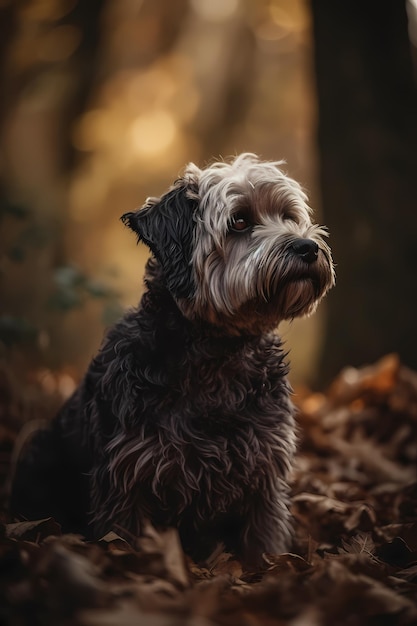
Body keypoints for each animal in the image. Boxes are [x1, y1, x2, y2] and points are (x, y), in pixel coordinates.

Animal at [10, 152, 334, 564]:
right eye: (239, 221)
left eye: (289, 216)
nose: (308, 247)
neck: (217, 354)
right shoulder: (125, 479)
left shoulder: (264, 473)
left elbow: (263, 544)